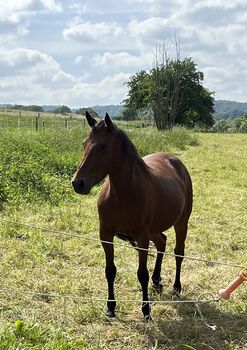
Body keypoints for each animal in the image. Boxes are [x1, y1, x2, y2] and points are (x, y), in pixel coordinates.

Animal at [71, 112, 193, 320]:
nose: (78, 183)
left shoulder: (141, 237)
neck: (123, 195)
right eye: (84, 143)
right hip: (154, 230)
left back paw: (176, 287)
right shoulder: (106, 235)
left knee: (178, 252)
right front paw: (110, 307)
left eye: (103, 146)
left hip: (181, 222)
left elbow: (141, 274)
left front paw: (146, 310)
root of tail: (175, 161)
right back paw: (157, 281)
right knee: (161, 243)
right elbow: (110, 270)